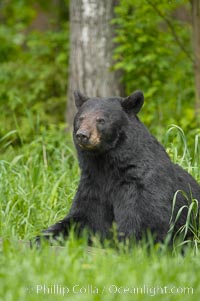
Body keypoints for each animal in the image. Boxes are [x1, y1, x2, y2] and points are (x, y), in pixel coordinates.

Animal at [36, 91, 200, 244]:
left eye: (101, 120)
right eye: (81, 118)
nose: (82, 135)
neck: (105, 165)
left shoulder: (141, 186)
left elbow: (145, 223)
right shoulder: (92, 186)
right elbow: (81, 218)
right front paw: (40, 238)